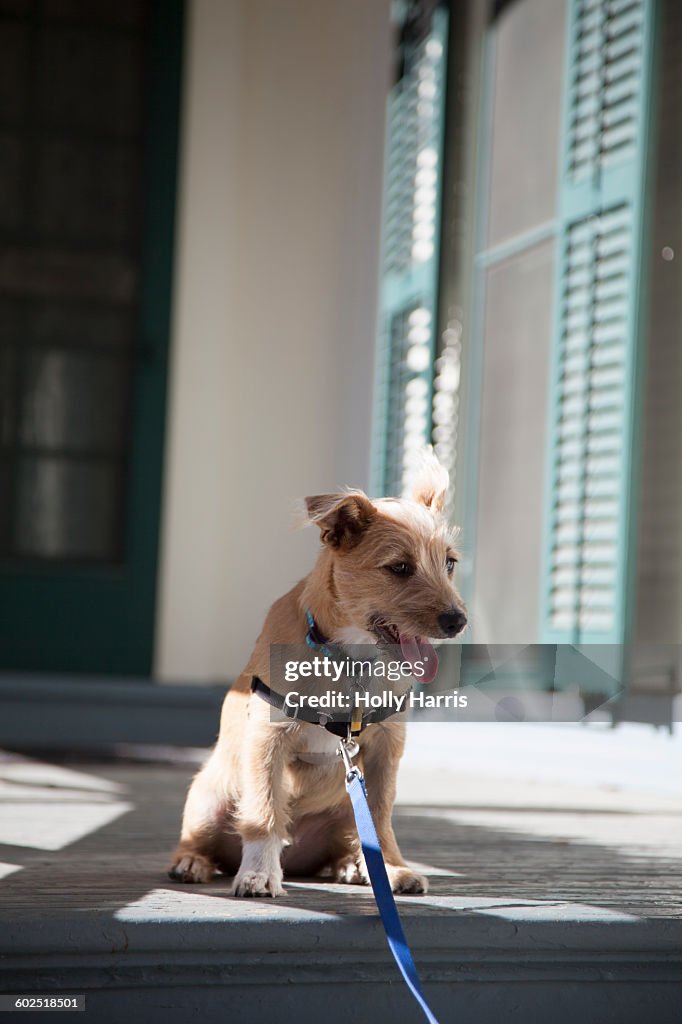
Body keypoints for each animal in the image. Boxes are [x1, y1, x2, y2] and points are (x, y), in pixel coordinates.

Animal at [169, 454, 466, 897]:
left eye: (449, 563)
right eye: (399, 567)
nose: (458, 621)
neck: (349, 658)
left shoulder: (385, 749)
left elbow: (381, 818)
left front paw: (393, 869)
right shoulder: (268, 740)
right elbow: (264, 813)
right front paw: (259, 873)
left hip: (344, 808)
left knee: (351, 839)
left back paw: (351, 865)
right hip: (208, 797)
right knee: (201, 837)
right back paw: (193, 861)